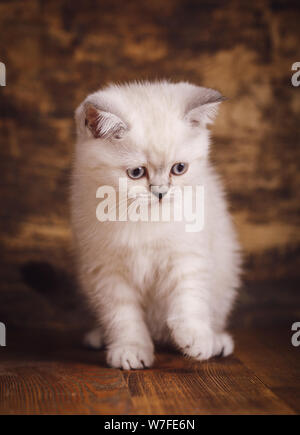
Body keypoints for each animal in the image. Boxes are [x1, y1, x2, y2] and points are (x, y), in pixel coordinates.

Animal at [71, 80, 241, 370]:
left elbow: (188, 298)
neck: (143, 218)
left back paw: (216, 340)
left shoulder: (187, 255)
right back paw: (99, 337)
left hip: (225, 274)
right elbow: (122, 315)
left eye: (179, 168)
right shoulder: (106, 269)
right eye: (136, 173)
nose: (160, 193)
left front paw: (195, 338)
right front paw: (130, 349)